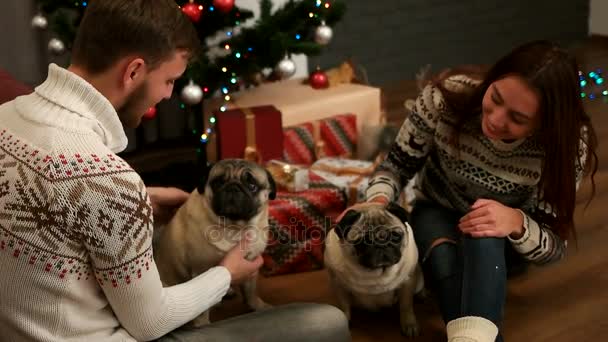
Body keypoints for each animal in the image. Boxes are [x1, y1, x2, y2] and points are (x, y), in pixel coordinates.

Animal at [153, 159, 276, 328]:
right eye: (218, 183)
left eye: (252, 185)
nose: (233, 187)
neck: (234, 228)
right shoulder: (201, 271)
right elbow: (202, 308)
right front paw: (202, 324)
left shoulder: (251, 265)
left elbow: (250, 292)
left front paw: (258, 306)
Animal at [324, 202, 422, 338]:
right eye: (364, 242)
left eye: (396, 237)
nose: (381, 243)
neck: (377, 272)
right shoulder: (339, 286)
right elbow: (344, 306)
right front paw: (345, 319)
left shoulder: (407, 283)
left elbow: (406, 306)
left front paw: (409, 324)